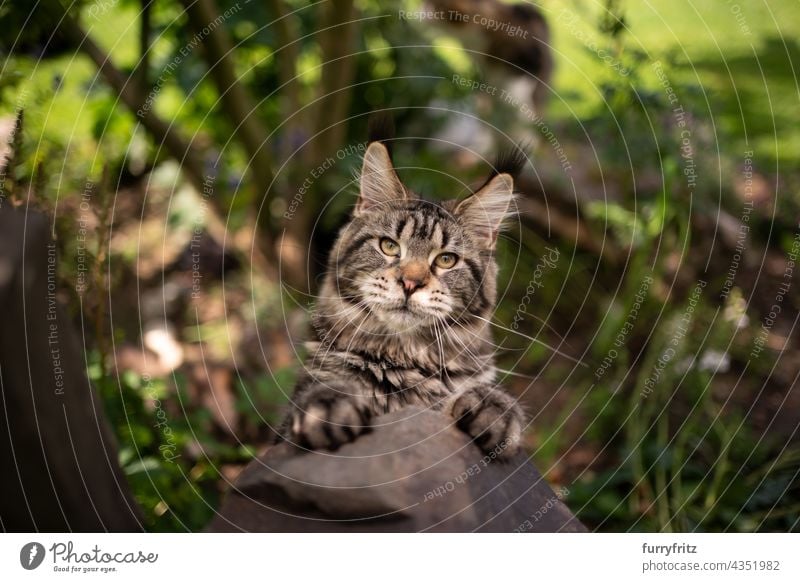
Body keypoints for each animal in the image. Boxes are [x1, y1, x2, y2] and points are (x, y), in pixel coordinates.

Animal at [278, 125, 528, 458]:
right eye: (389, 246)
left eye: (446, 260)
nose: (410, 283)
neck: (404, 360)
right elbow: (322, 393)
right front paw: (329, 406)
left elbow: (490, 398)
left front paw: (495, 409)